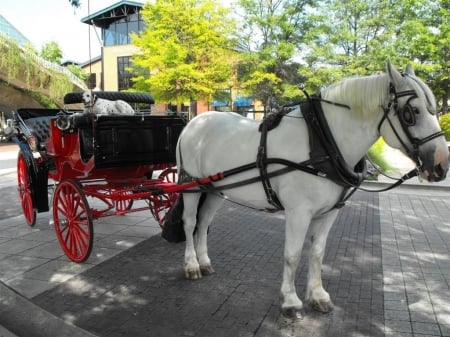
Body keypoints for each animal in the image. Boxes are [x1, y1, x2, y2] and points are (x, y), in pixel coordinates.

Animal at [171, 62, 448, 318]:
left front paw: (318, 295)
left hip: (216, 189)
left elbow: (317, 253)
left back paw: (204, 262)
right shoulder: (298, 212)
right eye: (411, 112)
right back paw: (191, 265)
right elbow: (292, 255)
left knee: (204, 222)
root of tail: (194, 121)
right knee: (190, 222)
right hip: (191, 185)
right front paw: (290, 300)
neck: (323, 141)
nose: (441, 165)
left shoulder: (329, 212)